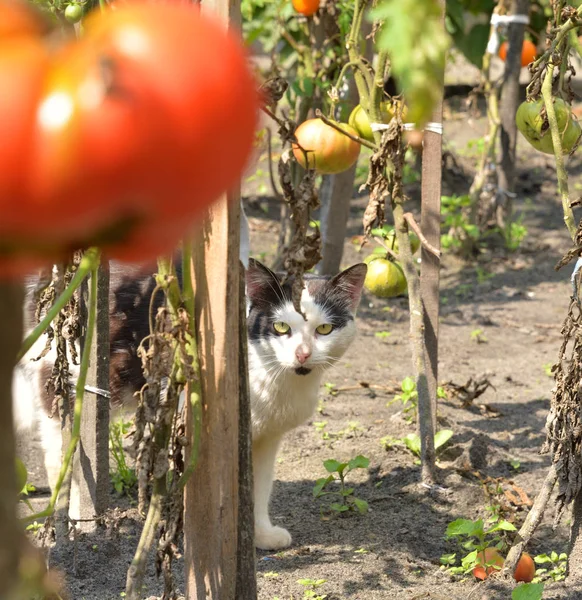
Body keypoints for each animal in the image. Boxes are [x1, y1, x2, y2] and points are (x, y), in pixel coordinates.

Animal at [12, 256, 364, 548]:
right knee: (60, 457)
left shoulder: (266, 438)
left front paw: (260, 535)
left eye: (324, 329)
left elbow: (260, 487)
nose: (303, 354)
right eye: (280, 327)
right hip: (65, 379)